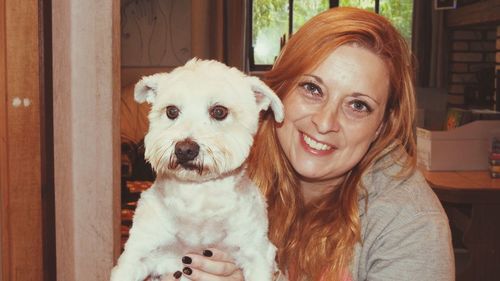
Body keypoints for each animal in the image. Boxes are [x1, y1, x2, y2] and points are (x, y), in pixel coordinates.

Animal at [112, 58, 286, 278]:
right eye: (171, 111)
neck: (198, 197)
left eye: (219, 111)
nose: (184, 150)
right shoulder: (137, 254)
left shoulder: (257, 255)